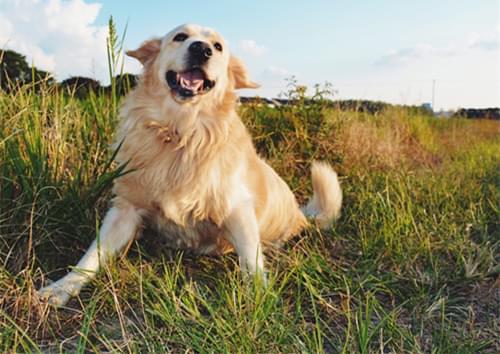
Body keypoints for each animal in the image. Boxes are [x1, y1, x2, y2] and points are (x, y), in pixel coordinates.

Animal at [39, 24, 342, 306]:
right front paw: (61, 288)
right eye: (180, 37)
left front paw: (259, 299)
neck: (181, 133)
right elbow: (91, 256)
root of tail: (302, 215)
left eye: (218, 47)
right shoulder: (125, 209)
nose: (201, 49)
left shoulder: (237, 210)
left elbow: (251, 263)